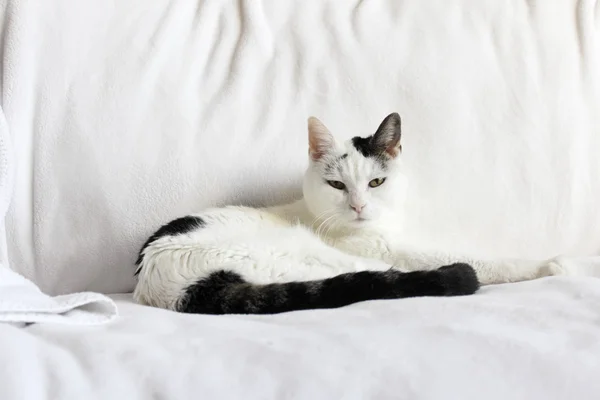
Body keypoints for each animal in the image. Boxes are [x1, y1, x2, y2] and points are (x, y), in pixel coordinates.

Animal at [132, 112, 568, 316]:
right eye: (337, 186)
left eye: (376, 182)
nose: (358, 206)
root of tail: (171, 288)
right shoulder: (392, 252)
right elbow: (481, 259)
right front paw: (546, 264)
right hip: (316, 257)